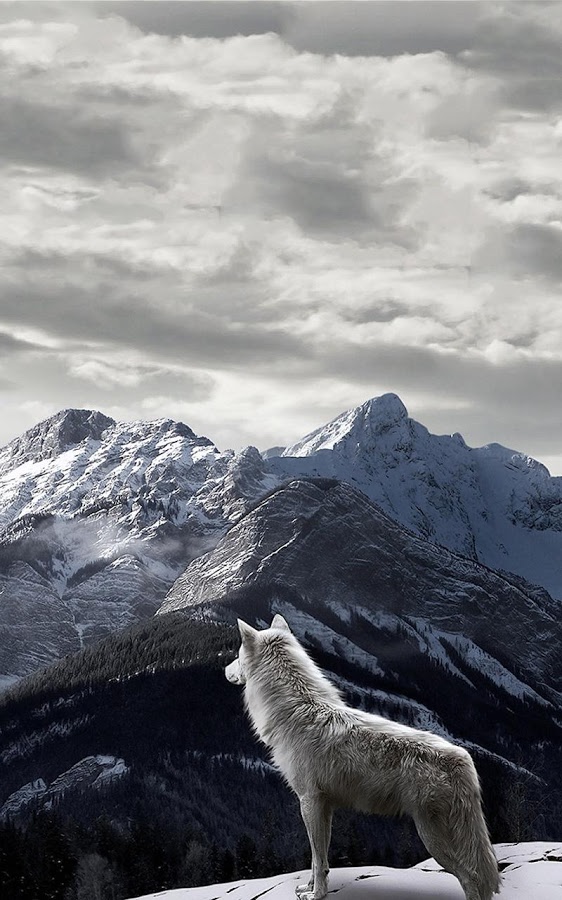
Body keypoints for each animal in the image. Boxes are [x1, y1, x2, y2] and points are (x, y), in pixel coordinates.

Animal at [225, 615, 500, 900]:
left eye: (237, 655)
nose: (224, 669)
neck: (295, 711)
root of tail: (462, 758)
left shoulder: (309, 801)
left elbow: (317, 858)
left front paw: (316, 894)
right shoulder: (324, 806)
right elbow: (318, 859)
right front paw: (309, 887)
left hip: (433, 840)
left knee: (472, 878)